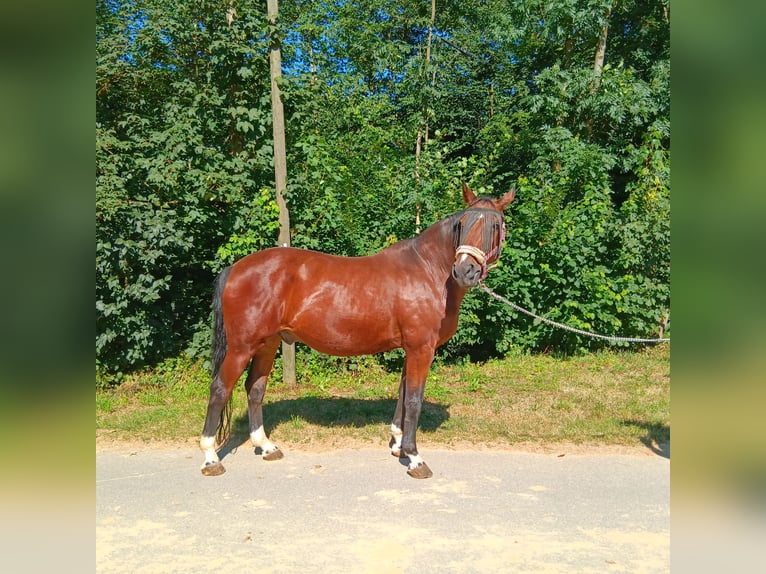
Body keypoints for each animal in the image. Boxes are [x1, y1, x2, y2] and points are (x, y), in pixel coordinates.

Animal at [201, 184, 520, 482]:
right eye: (462, 223)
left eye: (495, 226)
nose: (464, 271)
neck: (428, 270)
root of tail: (235, 268)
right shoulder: (421, 348)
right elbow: (414, 399)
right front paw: (415, 458)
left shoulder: (411, 348)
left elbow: (403, 392)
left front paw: (398, 445)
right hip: (241, 347)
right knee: (220, 389)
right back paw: (211, 457)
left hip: (267, 344)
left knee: (255, 389)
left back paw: (266, 446)